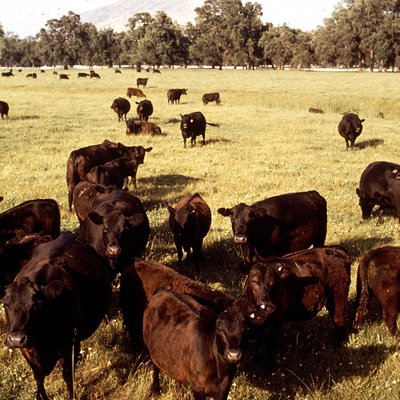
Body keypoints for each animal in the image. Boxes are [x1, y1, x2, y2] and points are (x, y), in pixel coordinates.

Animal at [2, 231, 111, 400]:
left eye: (37, 305)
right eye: (5, 305)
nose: (16, 339)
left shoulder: (71, 344)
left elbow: (68, 375)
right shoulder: (26, 350)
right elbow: (38, 377)